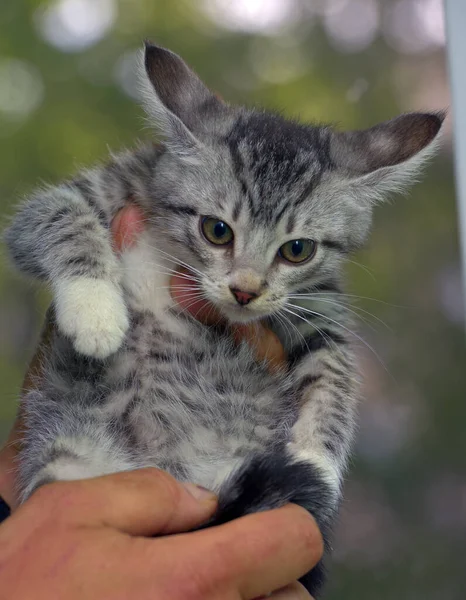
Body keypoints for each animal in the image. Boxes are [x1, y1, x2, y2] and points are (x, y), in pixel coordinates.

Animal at [3, 43, 442, 596]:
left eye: (297, 250)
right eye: (217, 230)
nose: (245, 290)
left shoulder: (317, 308)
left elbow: (335, 371)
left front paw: (317, 465)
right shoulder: (104, 186)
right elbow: (58, 216)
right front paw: (94, 310)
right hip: (71, 454)